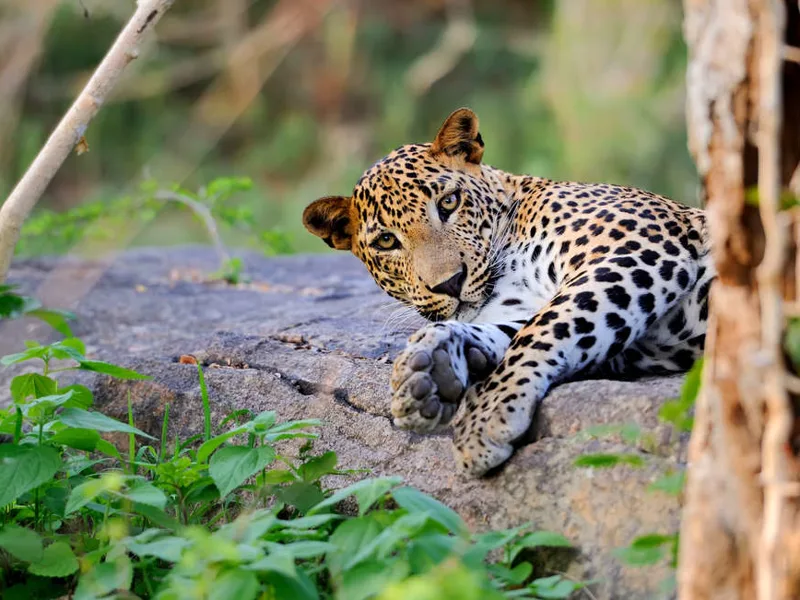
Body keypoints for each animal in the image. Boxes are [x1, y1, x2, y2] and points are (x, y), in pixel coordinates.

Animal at [302, 108, 713, 478]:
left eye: (449, 202)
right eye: (386, 241)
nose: (450, 282)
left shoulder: (635, 249)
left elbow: (544, 328)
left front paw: (484, 418)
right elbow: (520, 329)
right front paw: (430, 367)